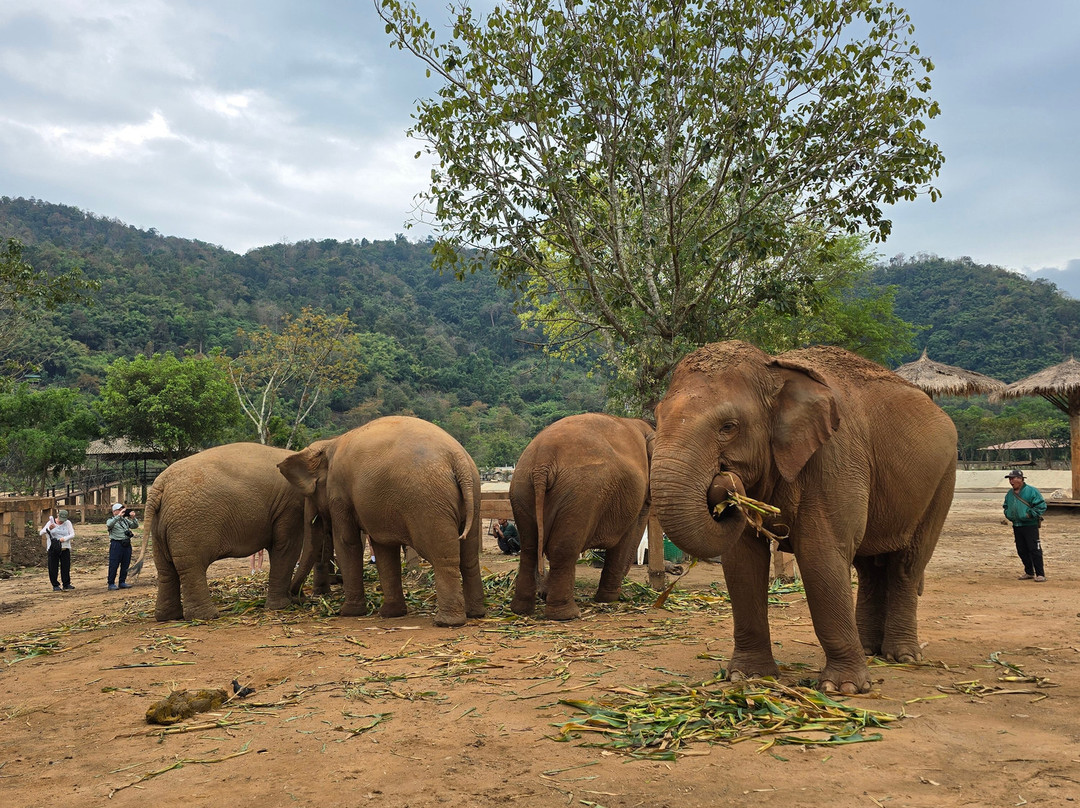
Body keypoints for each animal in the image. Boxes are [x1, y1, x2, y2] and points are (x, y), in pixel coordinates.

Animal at [144, 442, 308, 622]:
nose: (299, 597)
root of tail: (159, 485)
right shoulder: (291, 504)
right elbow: (287, 548)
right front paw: (283, 606)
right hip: (189, 524)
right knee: (191, 566)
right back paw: (206, 617)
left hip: (160, 526)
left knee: (165, 568)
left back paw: (169, 617)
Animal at [277, 416, 486, 627]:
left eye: (309, 495)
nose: (298, 597)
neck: (330, 443)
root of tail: (458, 460)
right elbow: (383, 548)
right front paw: (390, 613)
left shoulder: (339, 494)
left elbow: (347, 542)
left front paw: (349, 612)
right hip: (473, 498)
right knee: (469, 556)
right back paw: (475, 613)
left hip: (429, 503)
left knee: (441, 555)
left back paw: (447, 622)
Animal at [509, 413, 653, 620]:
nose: (542, 594)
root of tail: (542, 463)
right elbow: (628, 536)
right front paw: (610, 599)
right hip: (580, 495)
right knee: (563, 548)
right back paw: (567, 614)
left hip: (522, 489)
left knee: (529, 547)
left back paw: (521, 610)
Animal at [651, 341, 957, 694]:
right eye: (656, 417)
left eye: (728, 427)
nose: (724, 486)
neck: (775, 369)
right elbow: (742, 561)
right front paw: (749, 677)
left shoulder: (835, 457)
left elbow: (820, 556)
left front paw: (843, 688)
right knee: (868, 568)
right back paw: (869, 649)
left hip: (942, 482)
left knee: (907, 565)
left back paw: (902, 656)